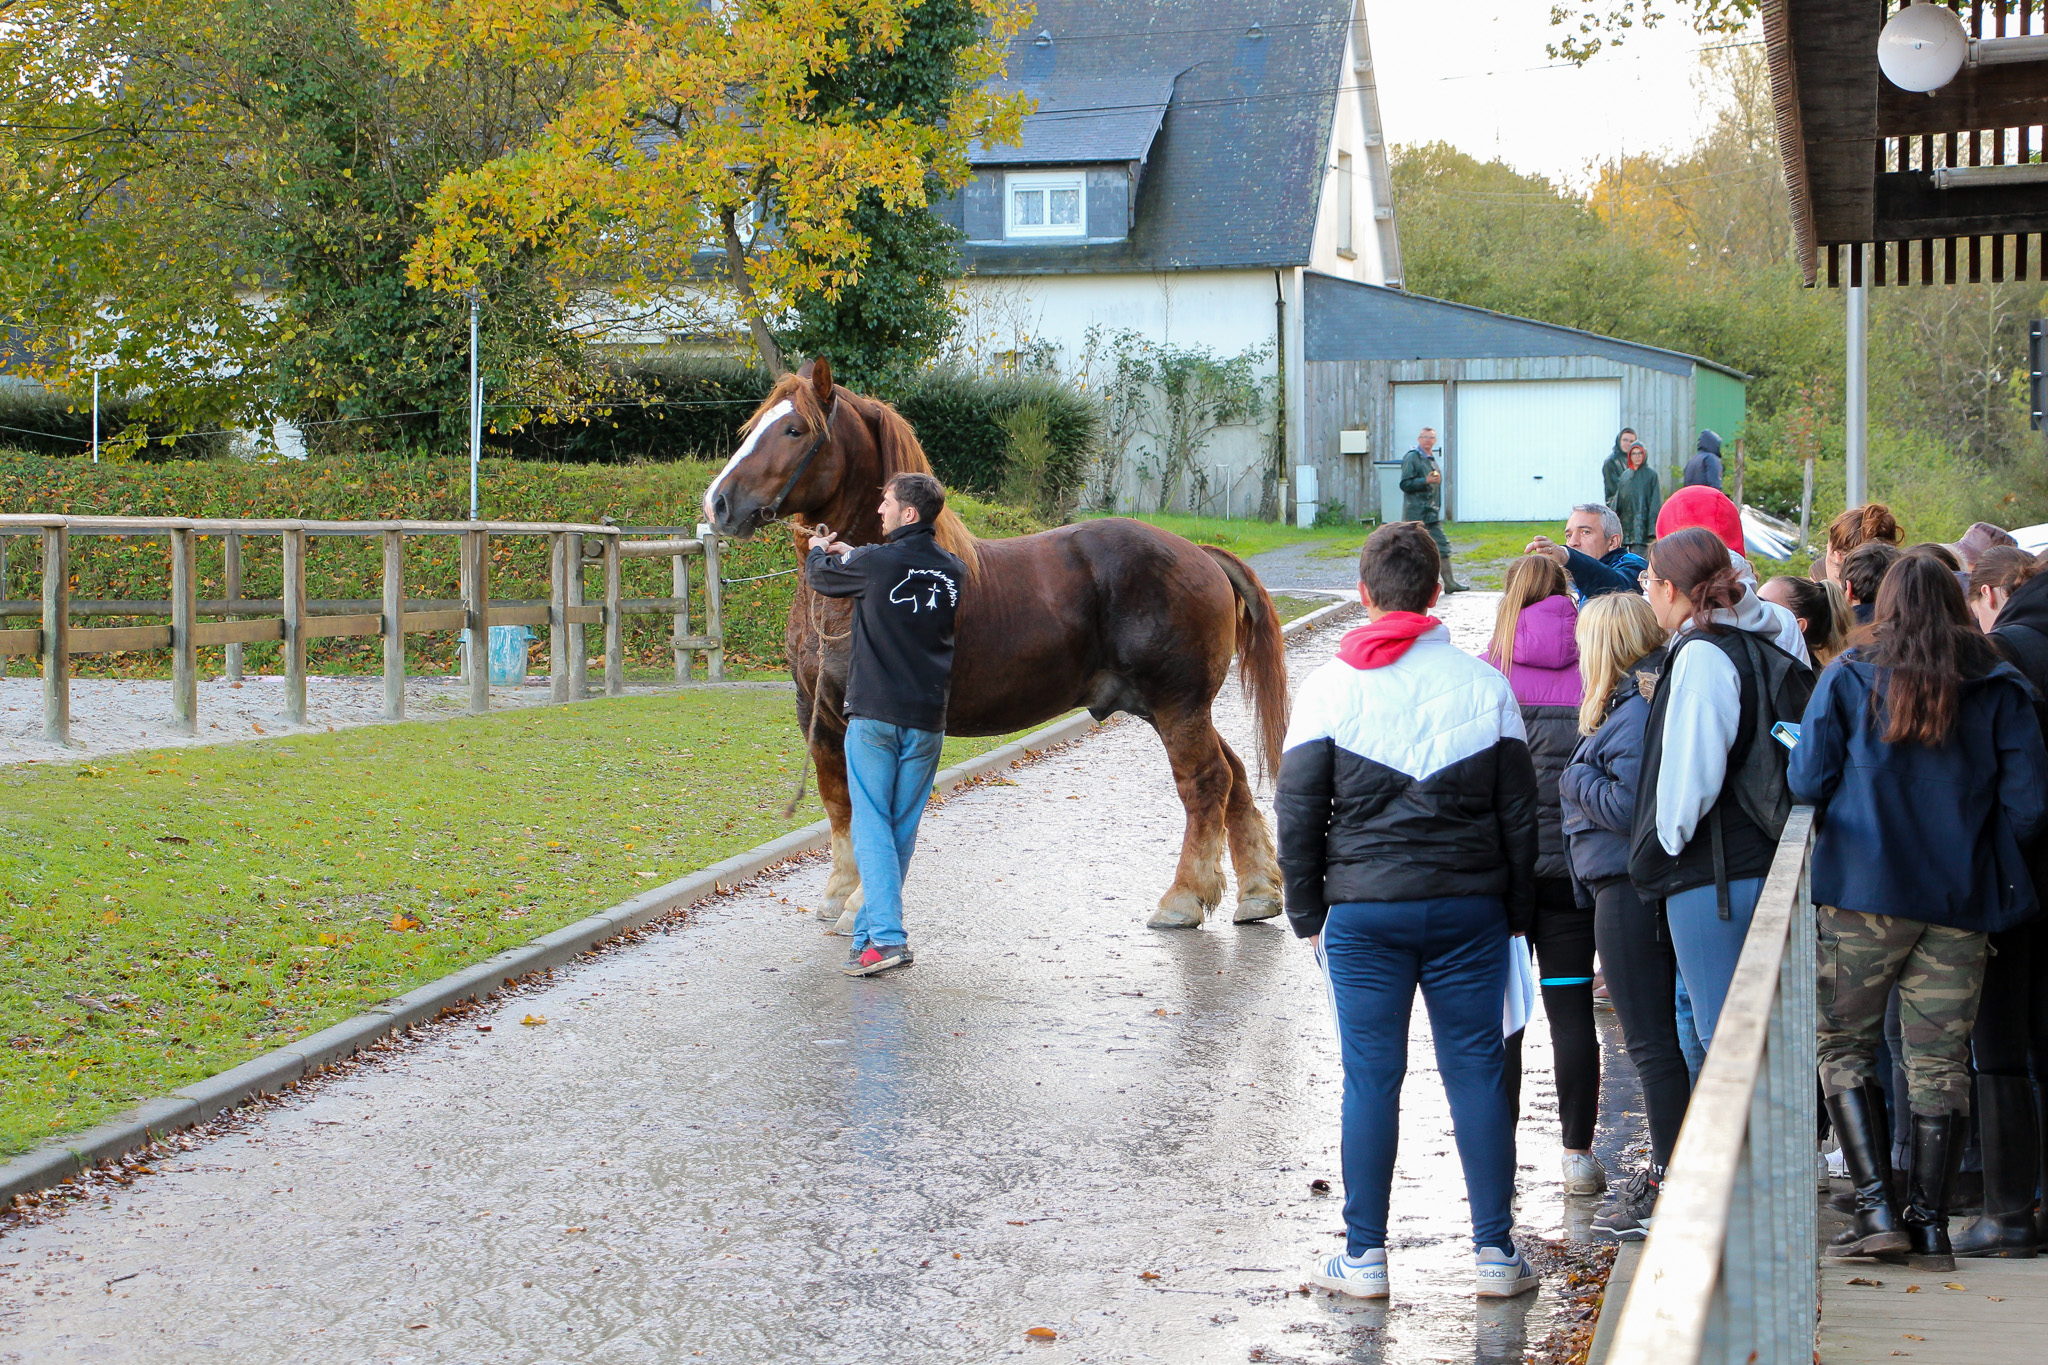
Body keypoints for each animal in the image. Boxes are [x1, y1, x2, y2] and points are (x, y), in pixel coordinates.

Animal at [700, 360, 1277, 929]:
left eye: (795, 430)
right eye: (754, 426)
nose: (718, 504)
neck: (846, 591)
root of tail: (1199, 554)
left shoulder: (873, 719)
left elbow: (876, 810)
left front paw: (861, 903)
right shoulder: (816, 715)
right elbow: (840, 803)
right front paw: (840, 892)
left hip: (1177, 706)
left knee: (1205, 782)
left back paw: (1183, 898)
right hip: (1172, 708)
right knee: (1233, 777)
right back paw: (1256, 893)